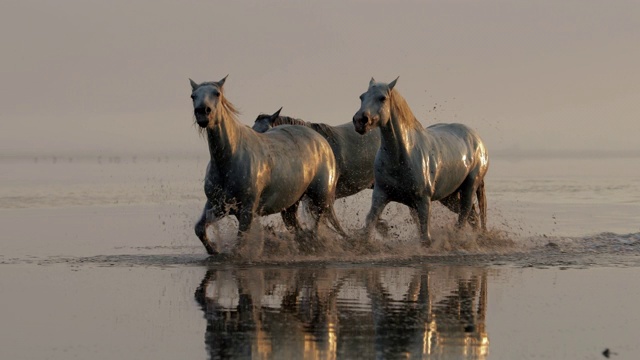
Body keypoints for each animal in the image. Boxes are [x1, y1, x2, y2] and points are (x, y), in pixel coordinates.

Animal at [352, 78, 488, 248]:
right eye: (361, 97)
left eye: (382, 98)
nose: (360, 121)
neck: (403, 157)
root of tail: (478, 140)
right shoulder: (381, 195)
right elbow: (369, 225)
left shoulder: (423, 200)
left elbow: (425, 238)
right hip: (449, 196)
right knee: (473, 217)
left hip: (469, 187)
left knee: (465, 216)